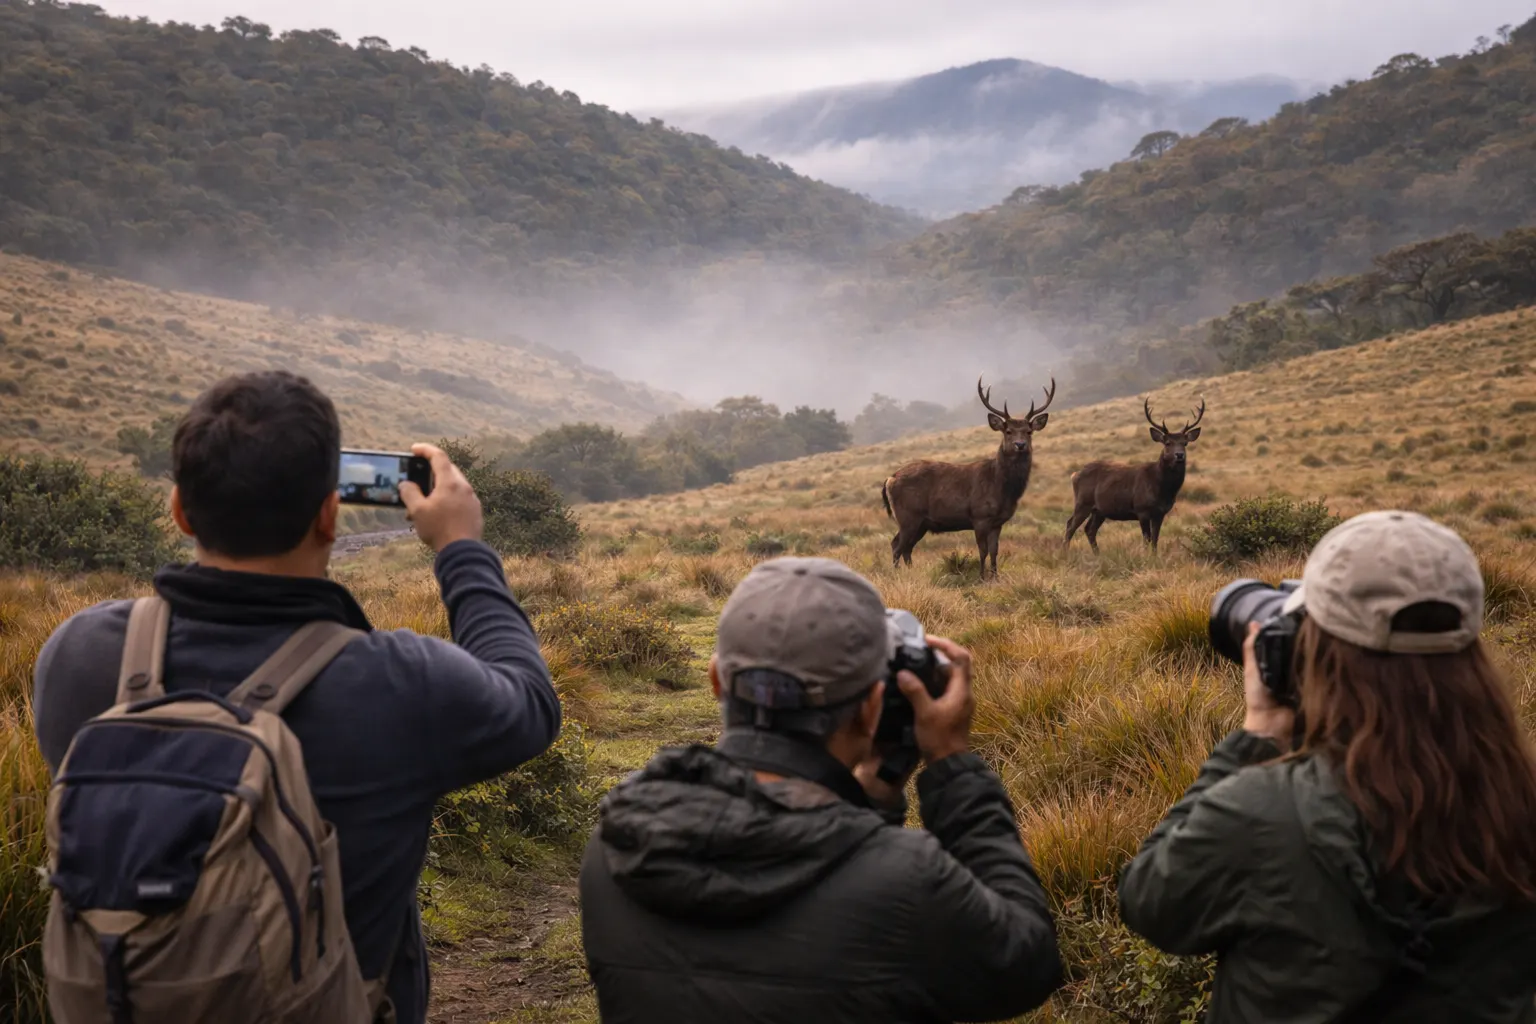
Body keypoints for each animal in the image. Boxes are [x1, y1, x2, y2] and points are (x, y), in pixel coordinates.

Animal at [881, 376, 1055, 577]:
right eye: (1008, 431)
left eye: (1029, 431)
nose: (1020, 445)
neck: (1002, 488)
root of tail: (889, 479)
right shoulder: (979, 516)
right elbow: (983, 550)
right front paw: (981, 576)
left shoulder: (997, 522)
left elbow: (995, 550)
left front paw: (995, 576)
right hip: (908, 516)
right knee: (896, 545)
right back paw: (897, 574)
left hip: (921, 523)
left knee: (906, 548)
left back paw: (912, 573)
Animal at [1064, 398, 1204, 553]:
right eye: (1167, 443)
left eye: (1185, 443)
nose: (1179, 455)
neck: (1161, 488)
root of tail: (1074, 475)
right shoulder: (1141, 509)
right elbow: (1147, 540)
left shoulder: (1160, 513)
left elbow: (1155, 541)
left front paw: (1154, 557)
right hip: (1083, 502)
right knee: (1070, 525)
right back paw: (1065, 553)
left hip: (1099, 510)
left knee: (1089, 529)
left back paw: (1097, 555)